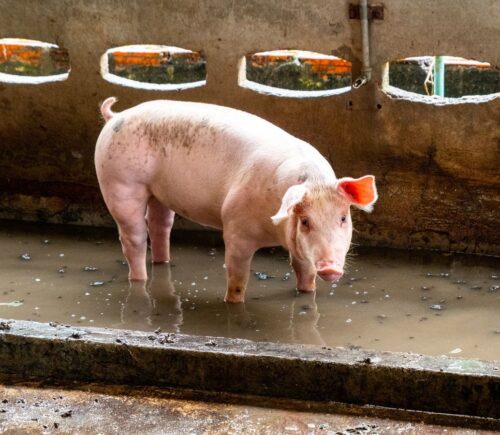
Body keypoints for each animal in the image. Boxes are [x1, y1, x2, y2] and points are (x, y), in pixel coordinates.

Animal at [94, 98, 378, 304]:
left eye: (343, 218)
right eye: (306, 221)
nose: (330, 268)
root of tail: (115, 117)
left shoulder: (299, 247)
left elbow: (304, 272)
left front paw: (308, 293)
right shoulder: (235, 227)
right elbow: (237, 276)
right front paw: (232, 303)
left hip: (158, 192)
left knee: (160, 225)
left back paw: (162, 262)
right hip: (120, 182)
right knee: (133, 237)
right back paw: (138, 279)